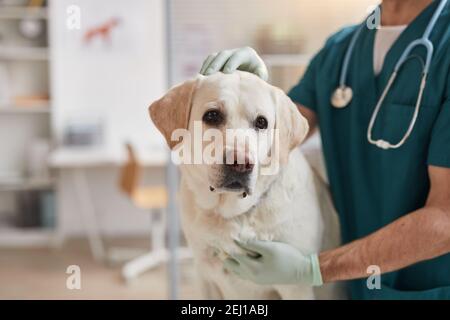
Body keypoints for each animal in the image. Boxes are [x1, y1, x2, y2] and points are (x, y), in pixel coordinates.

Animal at [149, 71, 340, 298]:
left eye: (261, 122)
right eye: (212, 116)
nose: (240, 163)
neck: (233, 214)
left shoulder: (296, 287)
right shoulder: (205, 277)